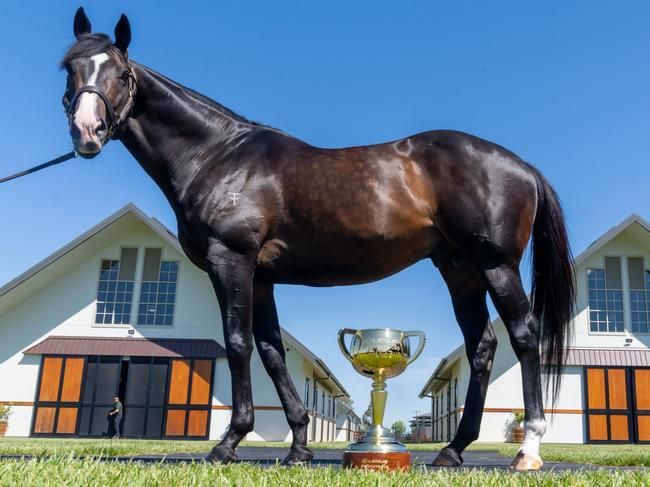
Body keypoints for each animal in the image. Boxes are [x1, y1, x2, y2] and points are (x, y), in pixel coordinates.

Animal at [62, 9, 572, 470]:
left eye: (121, 74)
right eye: (68, 67)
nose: (87, 132)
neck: (216, 154)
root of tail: (521, 165)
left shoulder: (231, 261)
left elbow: (238, 344)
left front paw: (228, 444)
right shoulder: (261, 277)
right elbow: (271, 352)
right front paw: (298, 447)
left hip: (495, 265)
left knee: (524, 336)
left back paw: (528, 450)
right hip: (460, 270)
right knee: (481, 347)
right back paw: (453, 450)